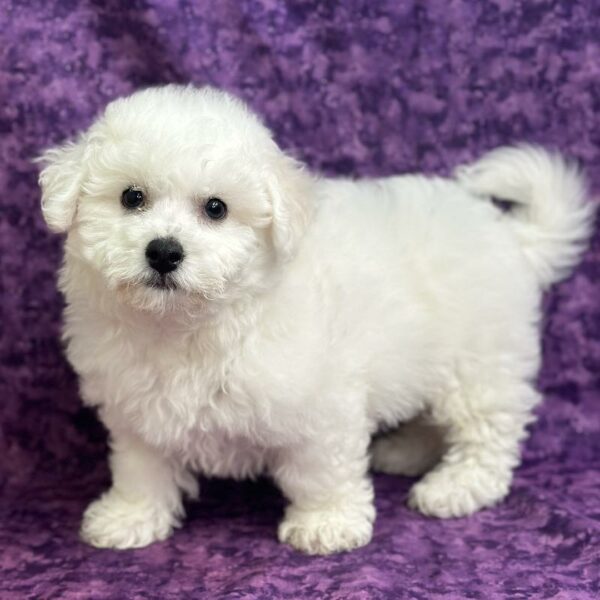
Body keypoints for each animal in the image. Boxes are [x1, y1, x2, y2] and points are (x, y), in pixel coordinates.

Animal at [38, 83, 596, 552]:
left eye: (216, 208)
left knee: (487, 432)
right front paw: (130, 517)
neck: (188, 326)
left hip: (480, 359)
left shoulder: (319, 403)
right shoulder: (137, 404)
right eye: (132, 197)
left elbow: (321, 468)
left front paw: (327, 523)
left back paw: (455, 487)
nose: (164, 251)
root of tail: (510, 235)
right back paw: (403, 452)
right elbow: (141, 466)